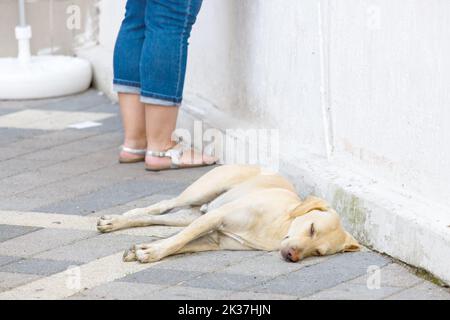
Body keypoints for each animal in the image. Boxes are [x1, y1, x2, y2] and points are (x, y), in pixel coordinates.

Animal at [96, 164, 360, 264]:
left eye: (318, 252)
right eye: (312, 228)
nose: (292, 256)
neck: (276, 230)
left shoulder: (214, 240)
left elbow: (181, 243)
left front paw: (143, 249)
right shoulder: (216, 218)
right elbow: (178, 241)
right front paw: (153, 252)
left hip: (189, 215)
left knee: (156, 217)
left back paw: (117, 222)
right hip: (201, 192)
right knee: (162, 204)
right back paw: (116, 219)